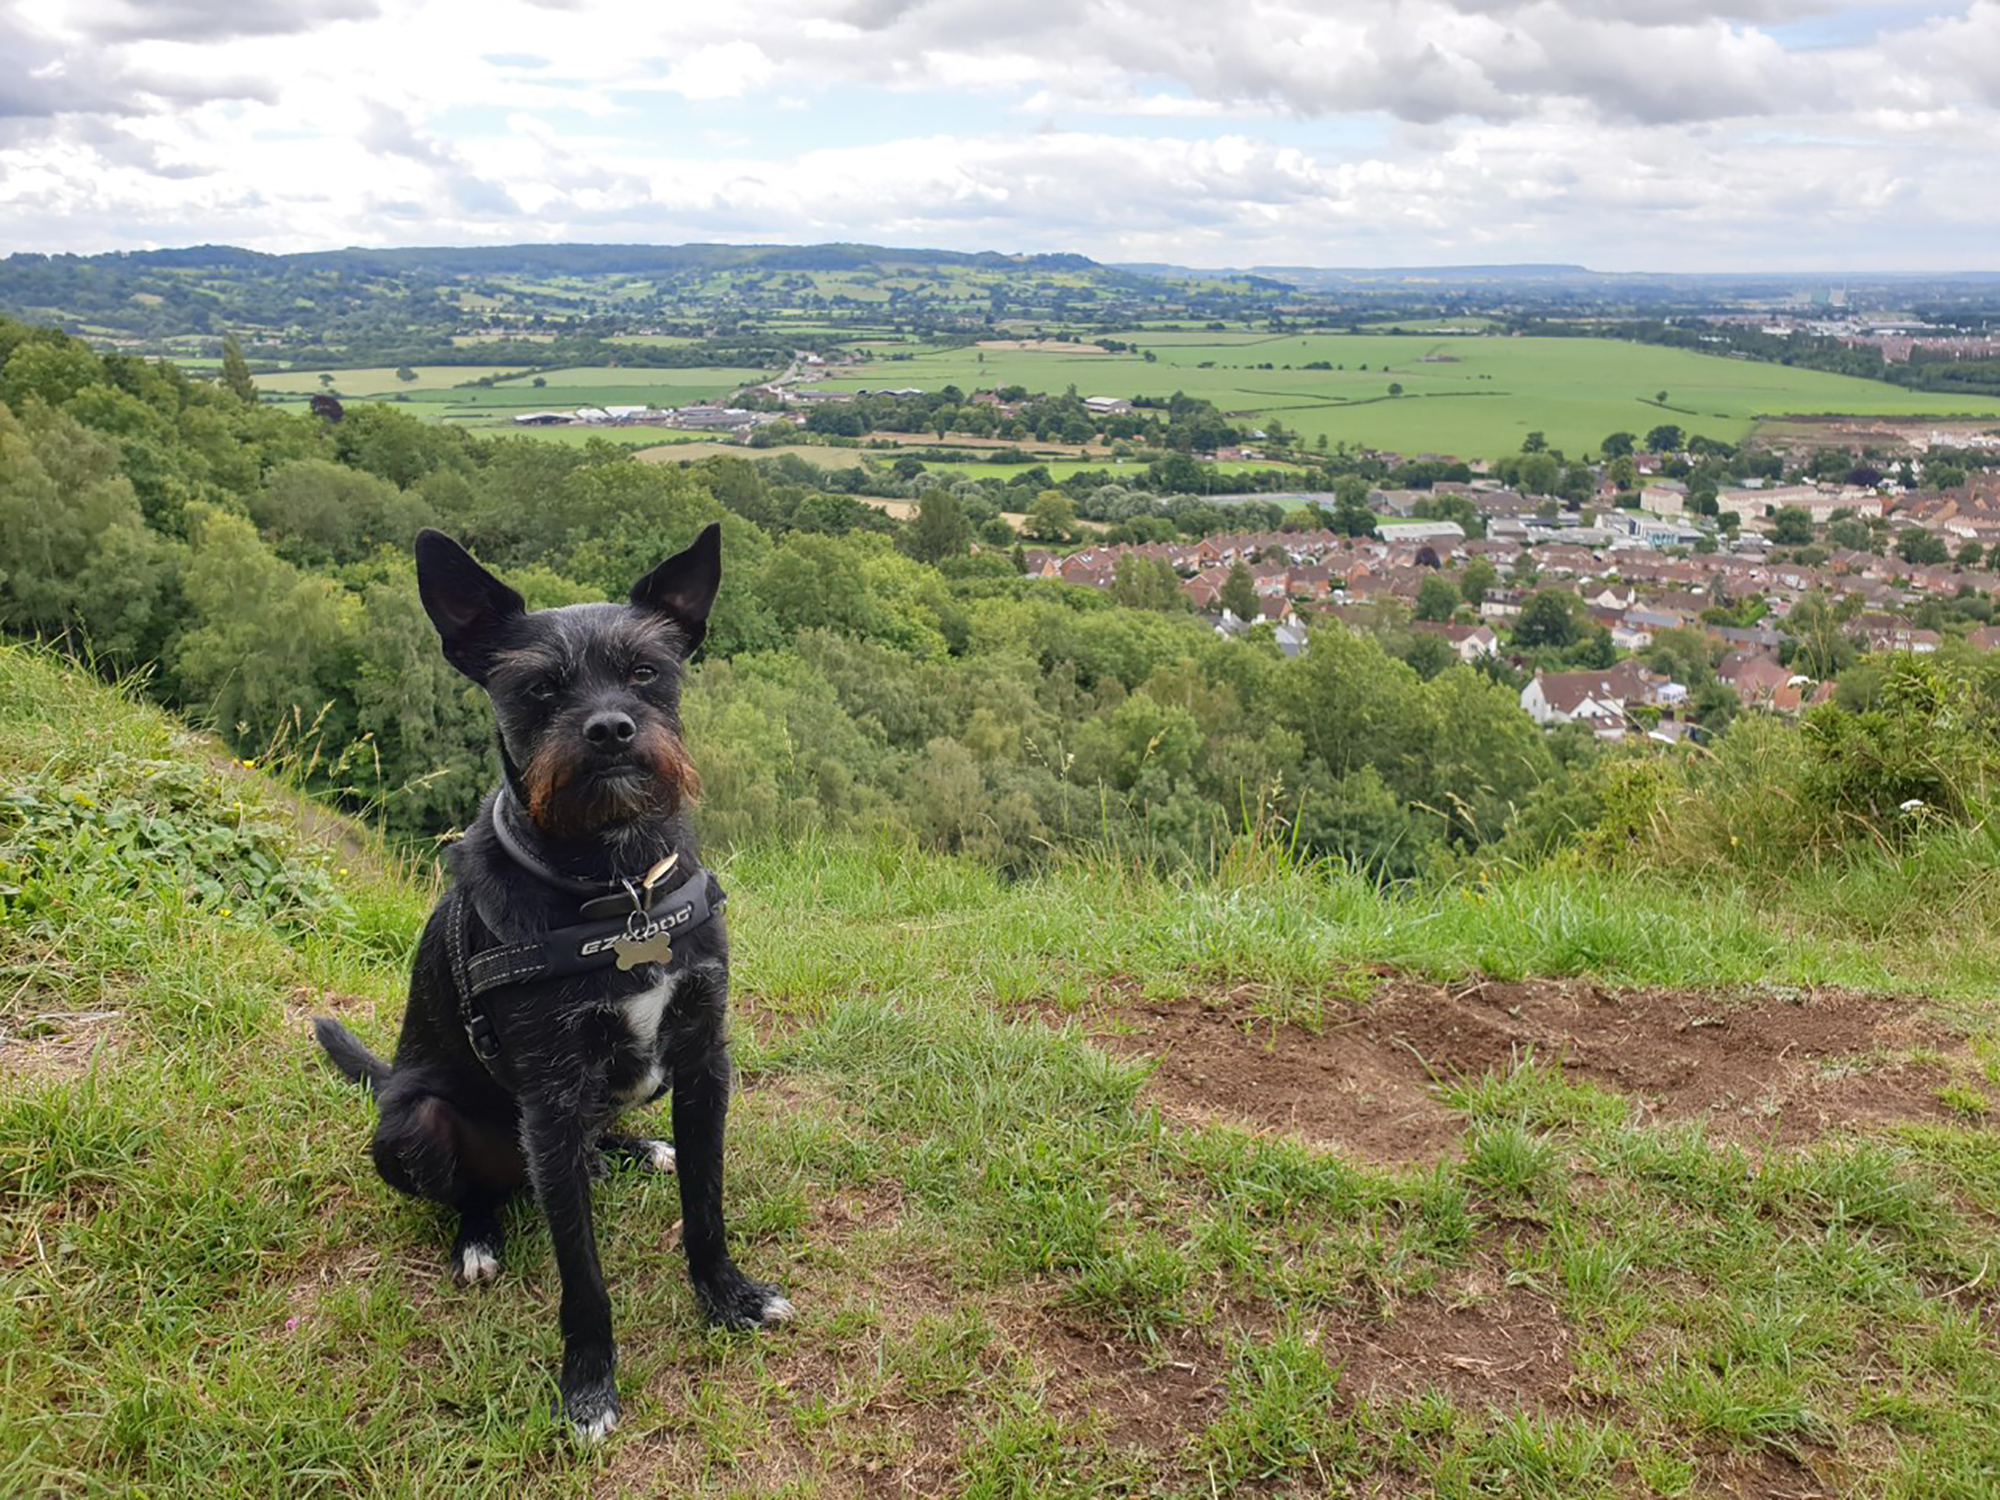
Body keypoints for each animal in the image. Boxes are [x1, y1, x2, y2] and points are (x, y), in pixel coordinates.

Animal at [308, 524, 784, 1448]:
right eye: (539, 686)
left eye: (646, 671)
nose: (610, 729)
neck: (617, 889)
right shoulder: (552, 1098)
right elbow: (583, 1275)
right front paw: (589, 1385)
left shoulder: (703, 1061)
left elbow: (705, 1203)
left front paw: (728, 1296)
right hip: (417, 1125)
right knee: (471, 1191)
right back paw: (478, 1241)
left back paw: (633, 1150)